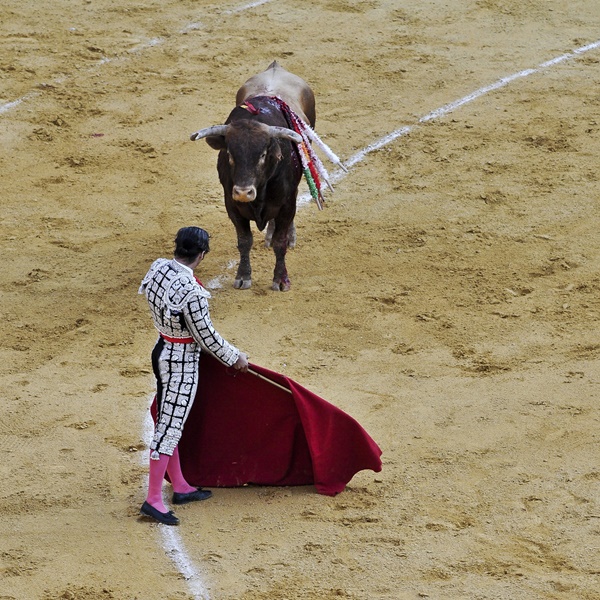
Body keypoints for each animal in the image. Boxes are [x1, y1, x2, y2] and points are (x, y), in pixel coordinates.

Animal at [191, 62, 318, 292]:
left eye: (263, 155)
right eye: (230, 154)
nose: (243, 192)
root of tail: (276, 67)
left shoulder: (287, 204)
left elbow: (280, 242)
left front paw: (280, 280)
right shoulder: (232, 205)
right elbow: (244, 241)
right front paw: (243, 276)